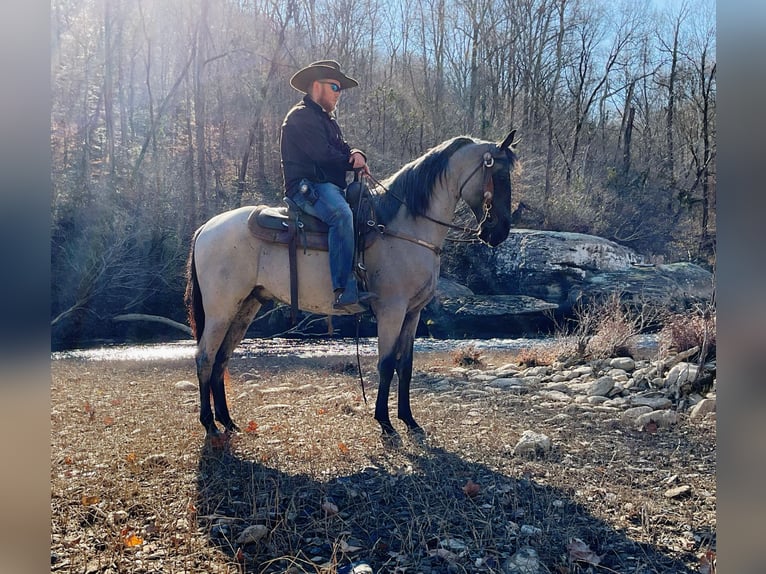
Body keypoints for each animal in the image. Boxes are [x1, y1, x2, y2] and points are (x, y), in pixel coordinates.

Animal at [187, 132, 520, 440]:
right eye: (500, 175)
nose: (500, 232)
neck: (404, 227)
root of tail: (206, 228)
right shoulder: (391, 311)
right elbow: (386, 364)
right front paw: (385, 422)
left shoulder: (412, 314)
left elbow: (406, 366)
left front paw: (409, 420)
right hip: (221, 311)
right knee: (205, 358)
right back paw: (209, 425)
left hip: (245, 307)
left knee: (221, 359)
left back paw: (228, 422)